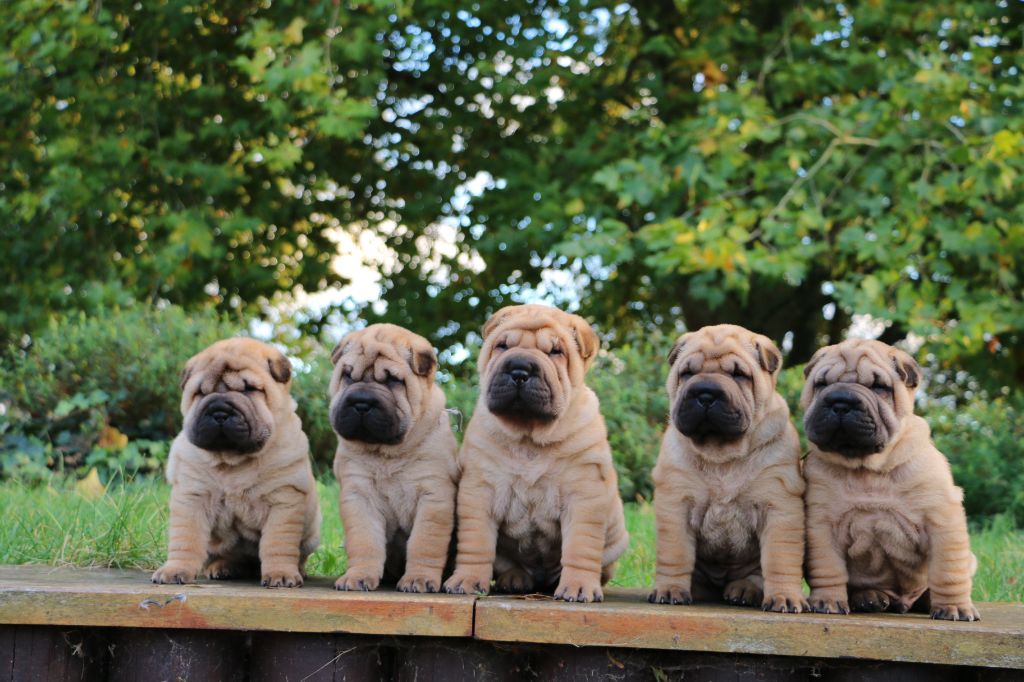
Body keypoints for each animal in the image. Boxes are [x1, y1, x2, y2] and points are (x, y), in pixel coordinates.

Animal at [149, 337, 317, 585]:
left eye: (249, 389)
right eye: (200, 393)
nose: (219, 410)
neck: (232, 461)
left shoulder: (283, 500)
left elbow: (277, 543)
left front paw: (281, 574)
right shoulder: (192, 497)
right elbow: (185, 540)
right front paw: (175, 570)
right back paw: (223, 567)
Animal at [329, 323, 458, 589]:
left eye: (393, 380)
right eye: (348, 376)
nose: (361, 402)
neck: (387, 453)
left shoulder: (433, 496)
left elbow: (424, 542)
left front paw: (419, 579)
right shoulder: (359, 496)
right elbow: (364, 541)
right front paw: (358, 576)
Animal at [444, 303, 626, 602]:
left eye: (555, 351)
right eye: (502, 346)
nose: (519, 369)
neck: (528, 435)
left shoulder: (583, 496)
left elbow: (580, 547)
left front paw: (579, 586)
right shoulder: (480, 491)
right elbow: (476, 543)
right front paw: (467, 580)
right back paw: (514, 579)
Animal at [647, 323, 806, 610]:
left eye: (739, 374)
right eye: (687, 373)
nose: (705, 393)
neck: (721, 452)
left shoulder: (778, 505)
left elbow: (780, 558)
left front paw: (785, 596)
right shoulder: (677, 503)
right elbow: (675, 553)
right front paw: (670, 589)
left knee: (756, 575)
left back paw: (745, 590)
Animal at [798, 337, 974, 618]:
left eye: (879, 386)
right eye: (821, 384)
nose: (841, 401)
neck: (869, 470)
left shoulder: (942, 520)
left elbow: (948, 571)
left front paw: (954, 606)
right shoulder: (822, 526)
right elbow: (828, 567)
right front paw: (828, 601)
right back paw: (869, 597)